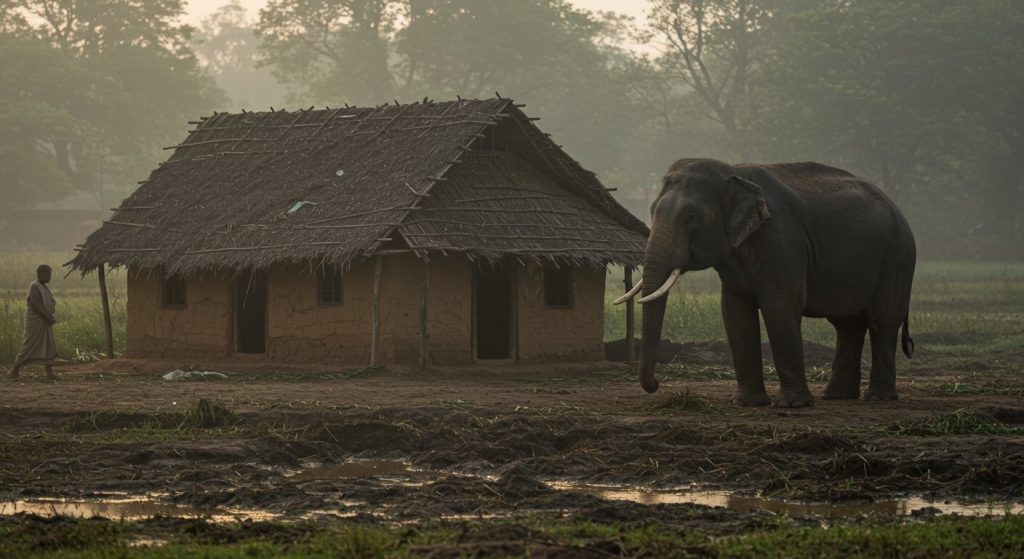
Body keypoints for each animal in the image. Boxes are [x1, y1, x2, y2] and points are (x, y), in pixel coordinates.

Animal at [617, 158, 916, 407]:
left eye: (691, 217)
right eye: (652, 211)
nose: (656, 385)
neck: (732, 172)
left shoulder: (782, 241)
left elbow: (780, 307)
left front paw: (793, 405)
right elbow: (735, 314)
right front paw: (747, 404)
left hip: (898, 256)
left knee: (882, 320)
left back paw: (878, 398)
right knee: (847, 324)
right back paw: (836, 396)